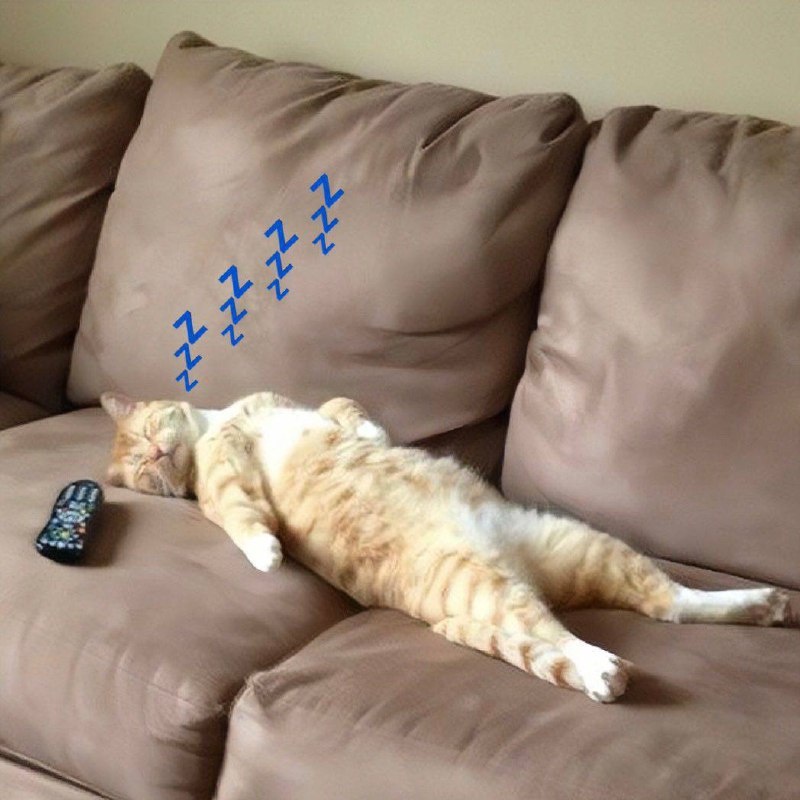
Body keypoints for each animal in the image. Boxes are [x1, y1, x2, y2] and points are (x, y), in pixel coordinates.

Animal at [100, 390, 794, 702]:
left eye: (147, 434)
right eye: (142, 471)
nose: (156, 453)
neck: (220, 422)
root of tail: (518, 560)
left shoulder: (290, 406)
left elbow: (344, 408)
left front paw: (370, 432)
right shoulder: (226, 480)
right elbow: (245, 516)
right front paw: (268, 553)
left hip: (579, 543)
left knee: (670, 603)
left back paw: (763, 604)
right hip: (492, 587)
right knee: (565, 635)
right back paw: (603, 670)